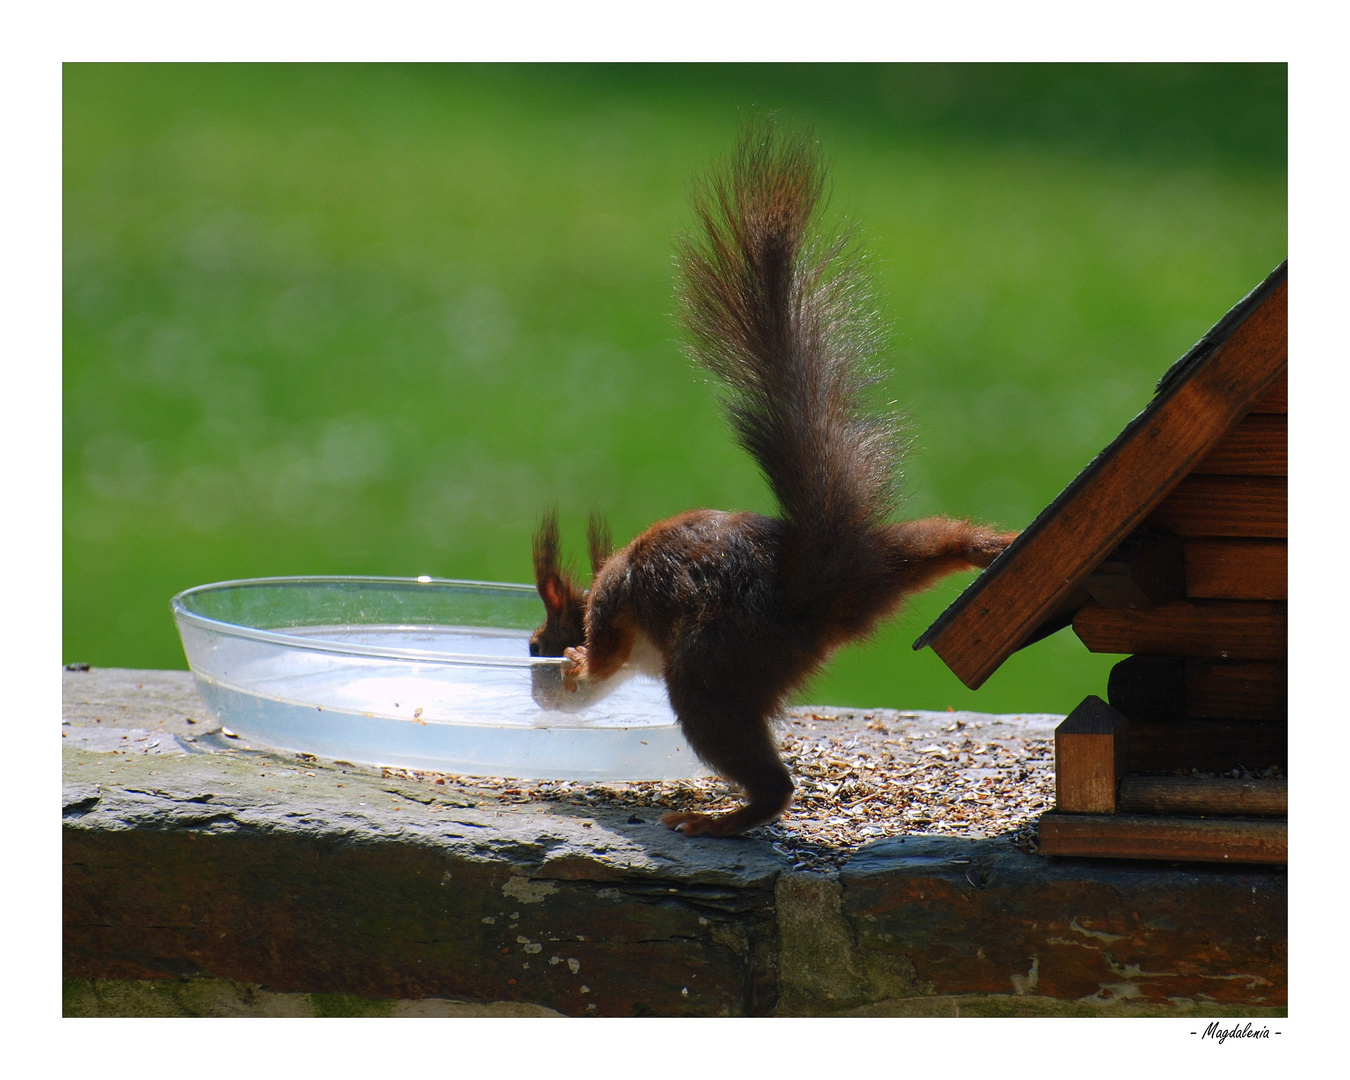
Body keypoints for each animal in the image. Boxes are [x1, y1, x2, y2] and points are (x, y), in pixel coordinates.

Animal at [526, 122, 1015, 837]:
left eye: (541, 640)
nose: (537, 677)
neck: (598, 591)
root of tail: (815, 588)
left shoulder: (615, 610)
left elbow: (605, 657)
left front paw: (579, 666)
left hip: (709, 674)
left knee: (770, 780)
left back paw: (719, 819)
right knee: (942, 536)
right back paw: (995, 544)